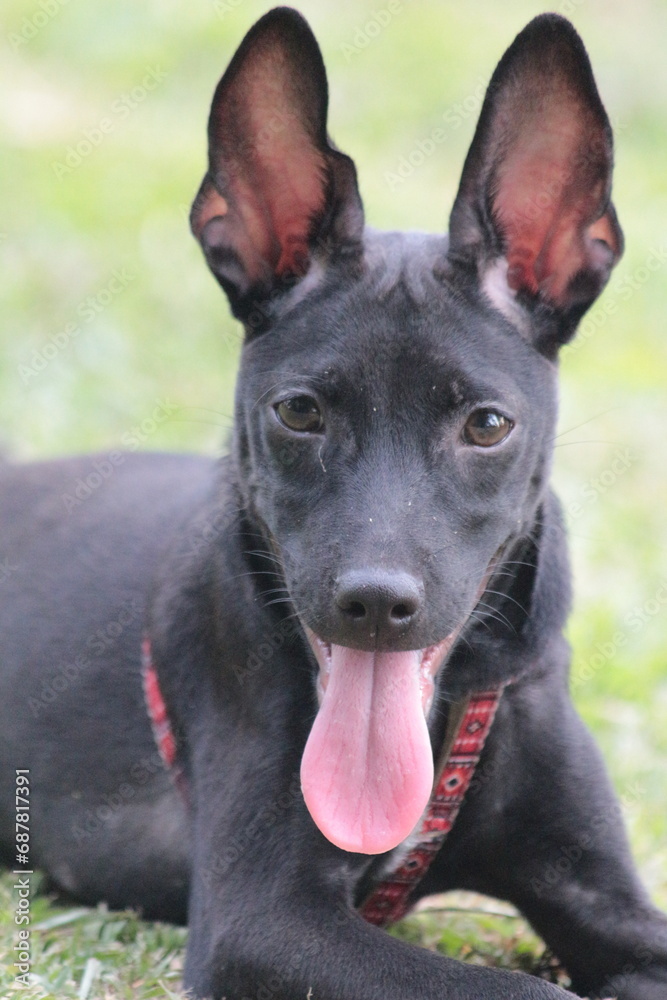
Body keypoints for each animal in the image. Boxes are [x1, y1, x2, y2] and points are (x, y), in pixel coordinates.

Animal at [1, 7, 667, 1000]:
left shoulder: (606, 902)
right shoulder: (264, 917)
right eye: (300, 413)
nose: (376, 604)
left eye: (486, 424)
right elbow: (517, 988)